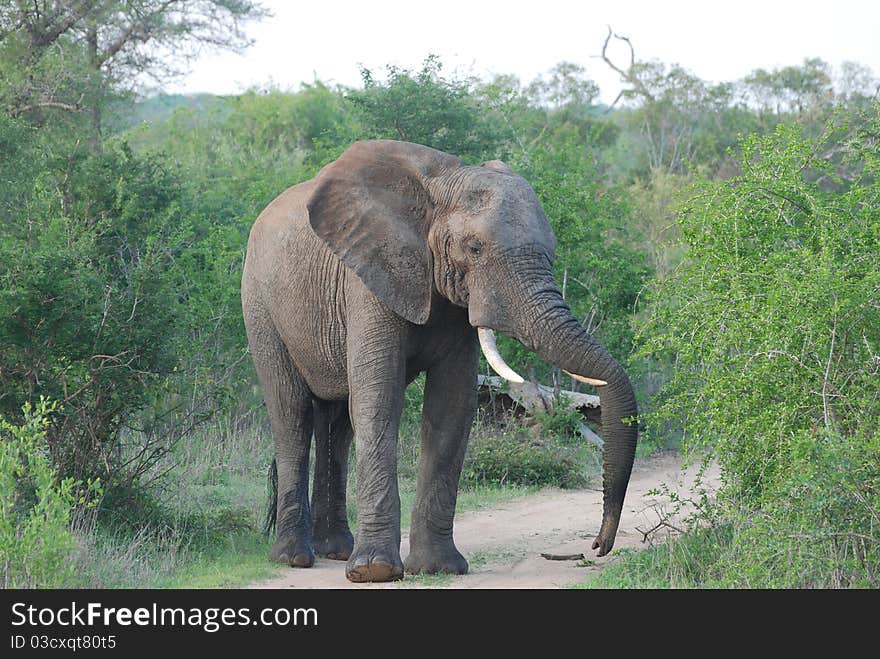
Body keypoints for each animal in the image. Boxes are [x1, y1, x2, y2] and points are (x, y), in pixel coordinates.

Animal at [242, 139, 640, 584]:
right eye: (475, 248)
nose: (597, 545)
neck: (442, 184)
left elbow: (451, 405)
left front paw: (437, 568)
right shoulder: (368, 279)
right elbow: (380, 400)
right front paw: (377, 571)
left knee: (337, 422)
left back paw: (335, 550)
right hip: (259, 304)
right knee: (292, 414)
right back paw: (294, 558)